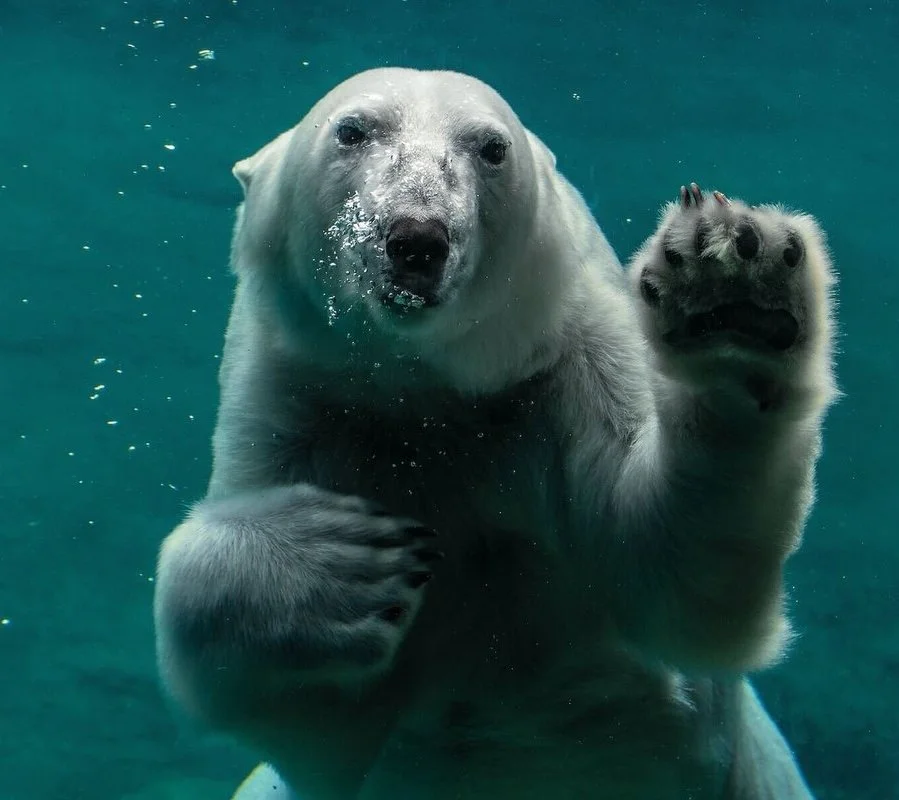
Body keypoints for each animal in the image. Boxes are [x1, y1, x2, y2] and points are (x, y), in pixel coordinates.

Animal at [153, 67, 837, 799]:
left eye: (491, 148)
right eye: (353, 129)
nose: (417, 237)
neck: (432, 390)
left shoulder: (568, 364)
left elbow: (671, 571)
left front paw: (734, 294)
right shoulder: (303, 401)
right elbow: (309, 712)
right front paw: (344, 560)